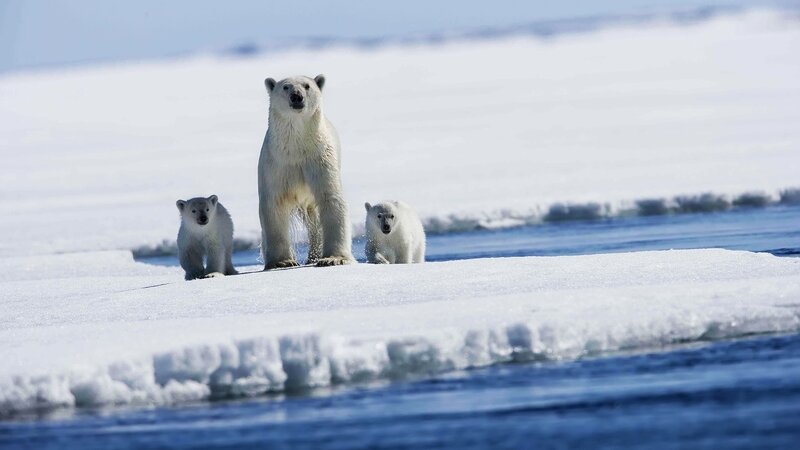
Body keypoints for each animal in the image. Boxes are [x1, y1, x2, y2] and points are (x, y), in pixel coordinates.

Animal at [258, 74, 355, 270]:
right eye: (285, 87)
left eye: (307, 86)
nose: (297, 96)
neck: (296, 148)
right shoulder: (276, 165)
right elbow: (273, 204)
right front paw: (282, 261)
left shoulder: (319, 159)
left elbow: (331, 199)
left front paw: (333, 258)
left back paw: (314, 256)